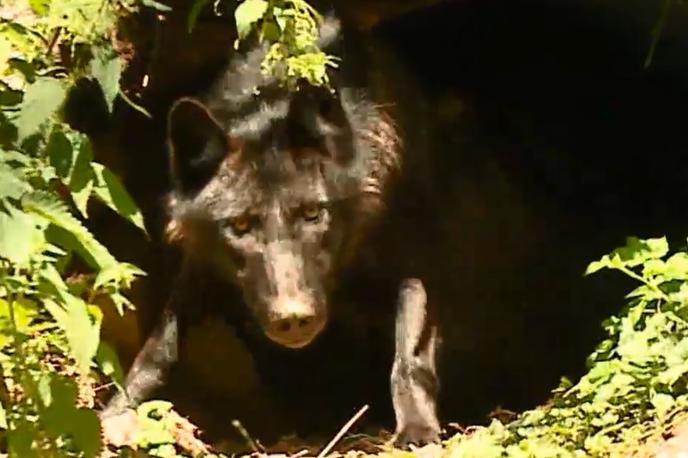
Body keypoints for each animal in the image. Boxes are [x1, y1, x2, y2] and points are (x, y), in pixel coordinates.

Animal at [103, 17, 440, 444]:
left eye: (313, 212)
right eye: (241, 225)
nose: (292, 316)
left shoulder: (414, 264)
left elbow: (410, 351)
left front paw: (417, 429)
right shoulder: (200, 268)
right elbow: (158, 349)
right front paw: (116, 411)